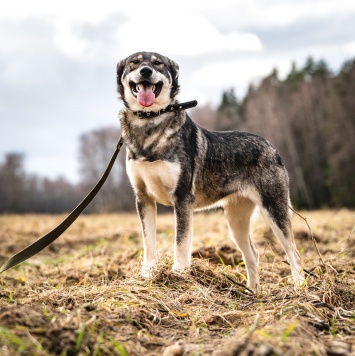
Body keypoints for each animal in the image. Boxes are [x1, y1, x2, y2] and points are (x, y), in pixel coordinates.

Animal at [117, 51, 306, 290]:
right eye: (135, 62)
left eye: (157, 63)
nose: (145, 71)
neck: (150, 123)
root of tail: (271, 146)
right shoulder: (144, 198)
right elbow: (148, 242)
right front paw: (148, 275)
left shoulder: (182, 198)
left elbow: (181, 242)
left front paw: (178, 275)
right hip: (236, 221)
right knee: (253, 255)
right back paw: (253, 292)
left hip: (274, 210)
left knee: (294, 253)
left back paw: (299, 289)